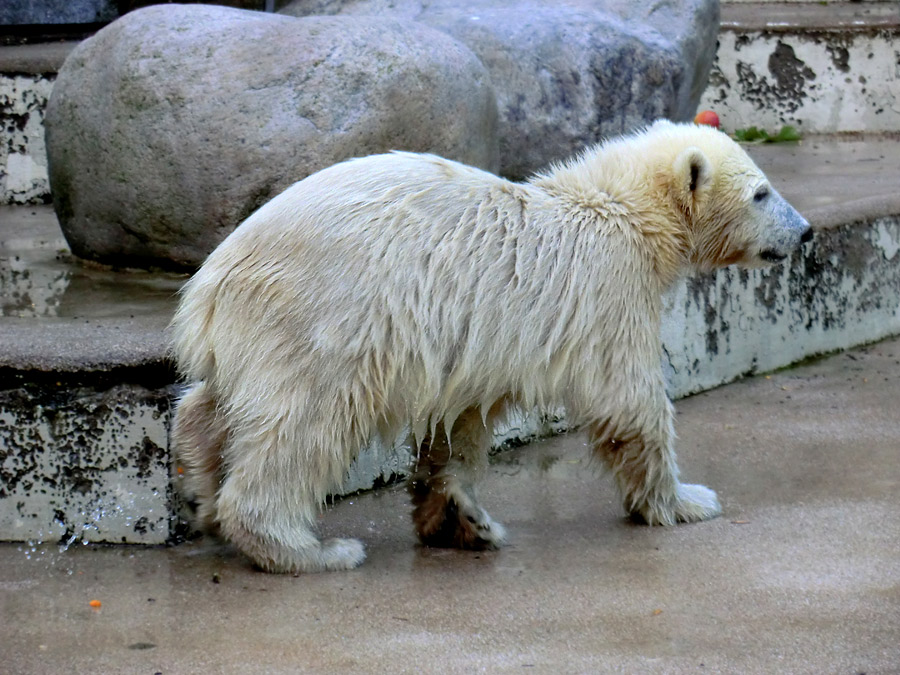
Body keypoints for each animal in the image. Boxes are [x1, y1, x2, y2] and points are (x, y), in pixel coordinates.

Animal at [171, 120, 816, 572]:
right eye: (762, 192)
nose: (806, 231)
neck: (620, 207)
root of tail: (212, 278)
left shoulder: (478, 341)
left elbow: (460, 420)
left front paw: (461, 519)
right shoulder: (609, 289)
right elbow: (629, 403)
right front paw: (685, 501)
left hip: (255, 329)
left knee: (214, 402)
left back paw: (199, 490)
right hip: (328, 315)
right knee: (306, 422)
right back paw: (307, 550)